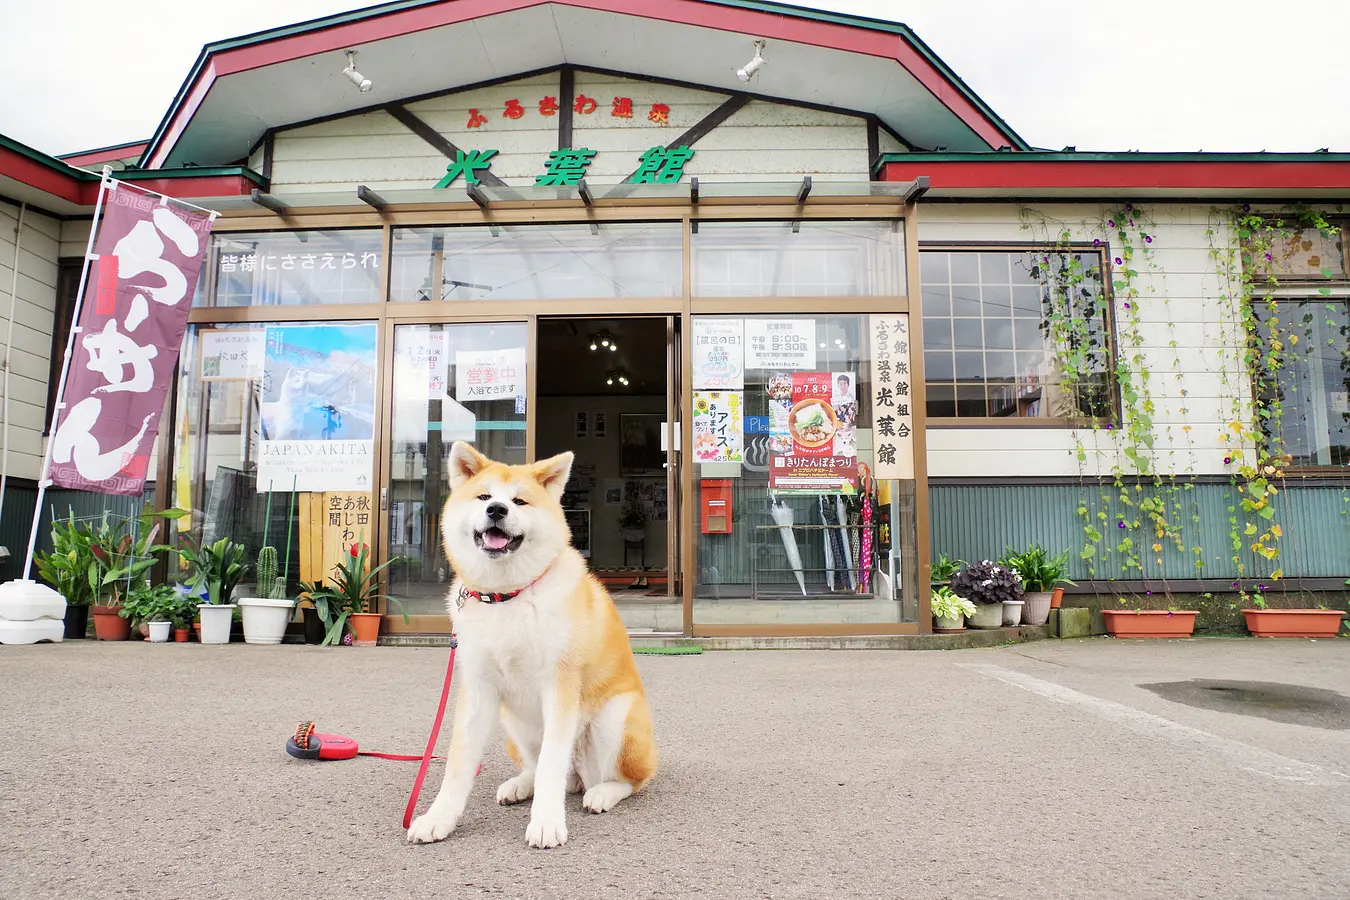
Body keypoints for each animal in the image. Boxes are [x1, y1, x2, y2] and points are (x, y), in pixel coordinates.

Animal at [405, 442, 658, 852]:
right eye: (484, 497)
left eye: (519, 501)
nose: (497, 510)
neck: (507, 596)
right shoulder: (478, 689)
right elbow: (459, 763)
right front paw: (438, 818)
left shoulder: (560, 685)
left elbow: (553, 765)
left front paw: (546, 823)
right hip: (514, 722)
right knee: (537, 769)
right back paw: (520, 784)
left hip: (614, 718)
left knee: (625, 780)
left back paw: (602, 793)